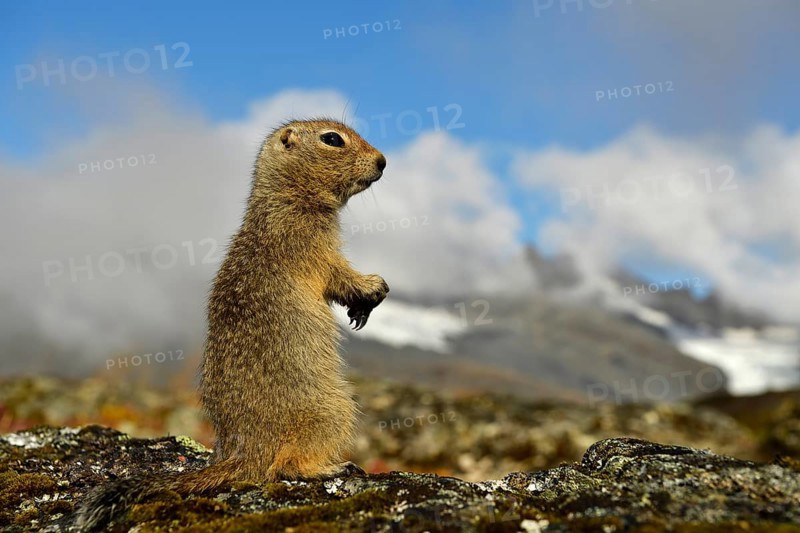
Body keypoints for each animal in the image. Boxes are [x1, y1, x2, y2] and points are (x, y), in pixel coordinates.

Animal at [76, 118, 389, 530]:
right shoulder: (309, 244)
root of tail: (242, 452)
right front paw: (373, 286)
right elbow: (336, 273)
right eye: (332, 139)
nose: (383, 160)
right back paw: (334, 467)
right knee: (285, 466)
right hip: (334, 409)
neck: (287, 199)